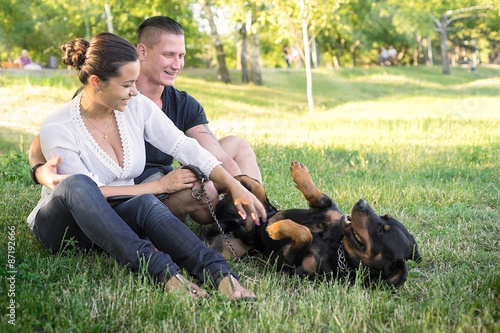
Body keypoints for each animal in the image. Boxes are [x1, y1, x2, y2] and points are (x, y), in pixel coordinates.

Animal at [207, 160, 422, 286]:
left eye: (381, 231)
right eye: (385, 216)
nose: (361, 203)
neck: (338, 247)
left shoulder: (287, 265)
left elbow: (304, 234)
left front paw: (275, 229)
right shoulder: (327, 210)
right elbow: (317, 196)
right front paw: (300, 173)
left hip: (231, 249)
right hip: (255, 200)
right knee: (247, 183)